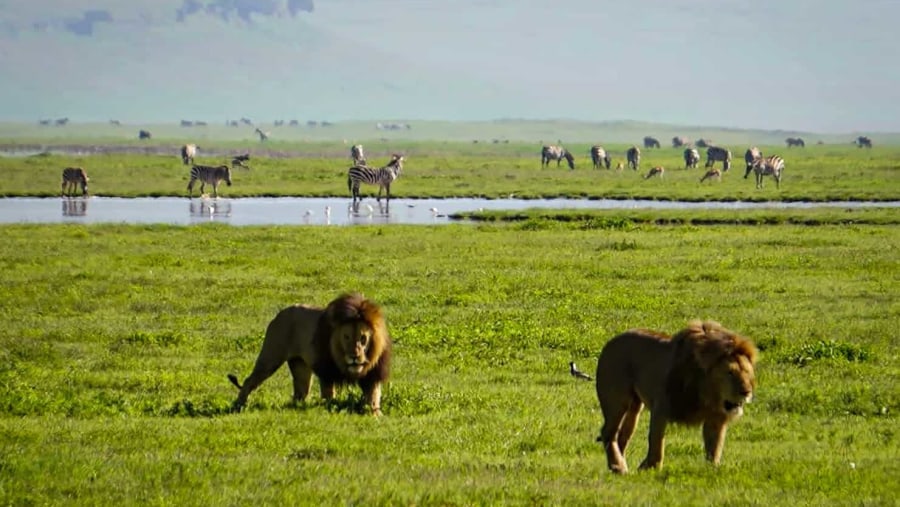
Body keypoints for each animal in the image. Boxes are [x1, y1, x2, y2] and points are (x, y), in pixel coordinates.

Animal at [229, 294, 390, 416]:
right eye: (346, 337)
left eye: (363, 338)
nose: (354, 356)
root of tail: (280, 314)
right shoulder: (326, 371)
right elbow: (328, 395)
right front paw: (330, 408)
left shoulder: (373, 375)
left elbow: (373, 396)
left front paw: (376, 414)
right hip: (270, 358)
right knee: (249, 381)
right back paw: (239, 405)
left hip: (300, 367)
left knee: (300, 392)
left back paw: (298, 407)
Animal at [596, 320, 756, 474]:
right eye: (729, 373)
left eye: (747, 372)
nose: (746, 392)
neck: (707, 393)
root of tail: (609, 343)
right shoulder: (661, 407)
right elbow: (657, 442)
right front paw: (650, 467)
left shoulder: (715, 419)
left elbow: (715, 448)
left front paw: (713, 470)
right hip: (617, 401)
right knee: (608, 433)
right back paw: (618, 466)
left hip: (634, 408)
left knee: (622, 436)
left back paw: (619, 465)